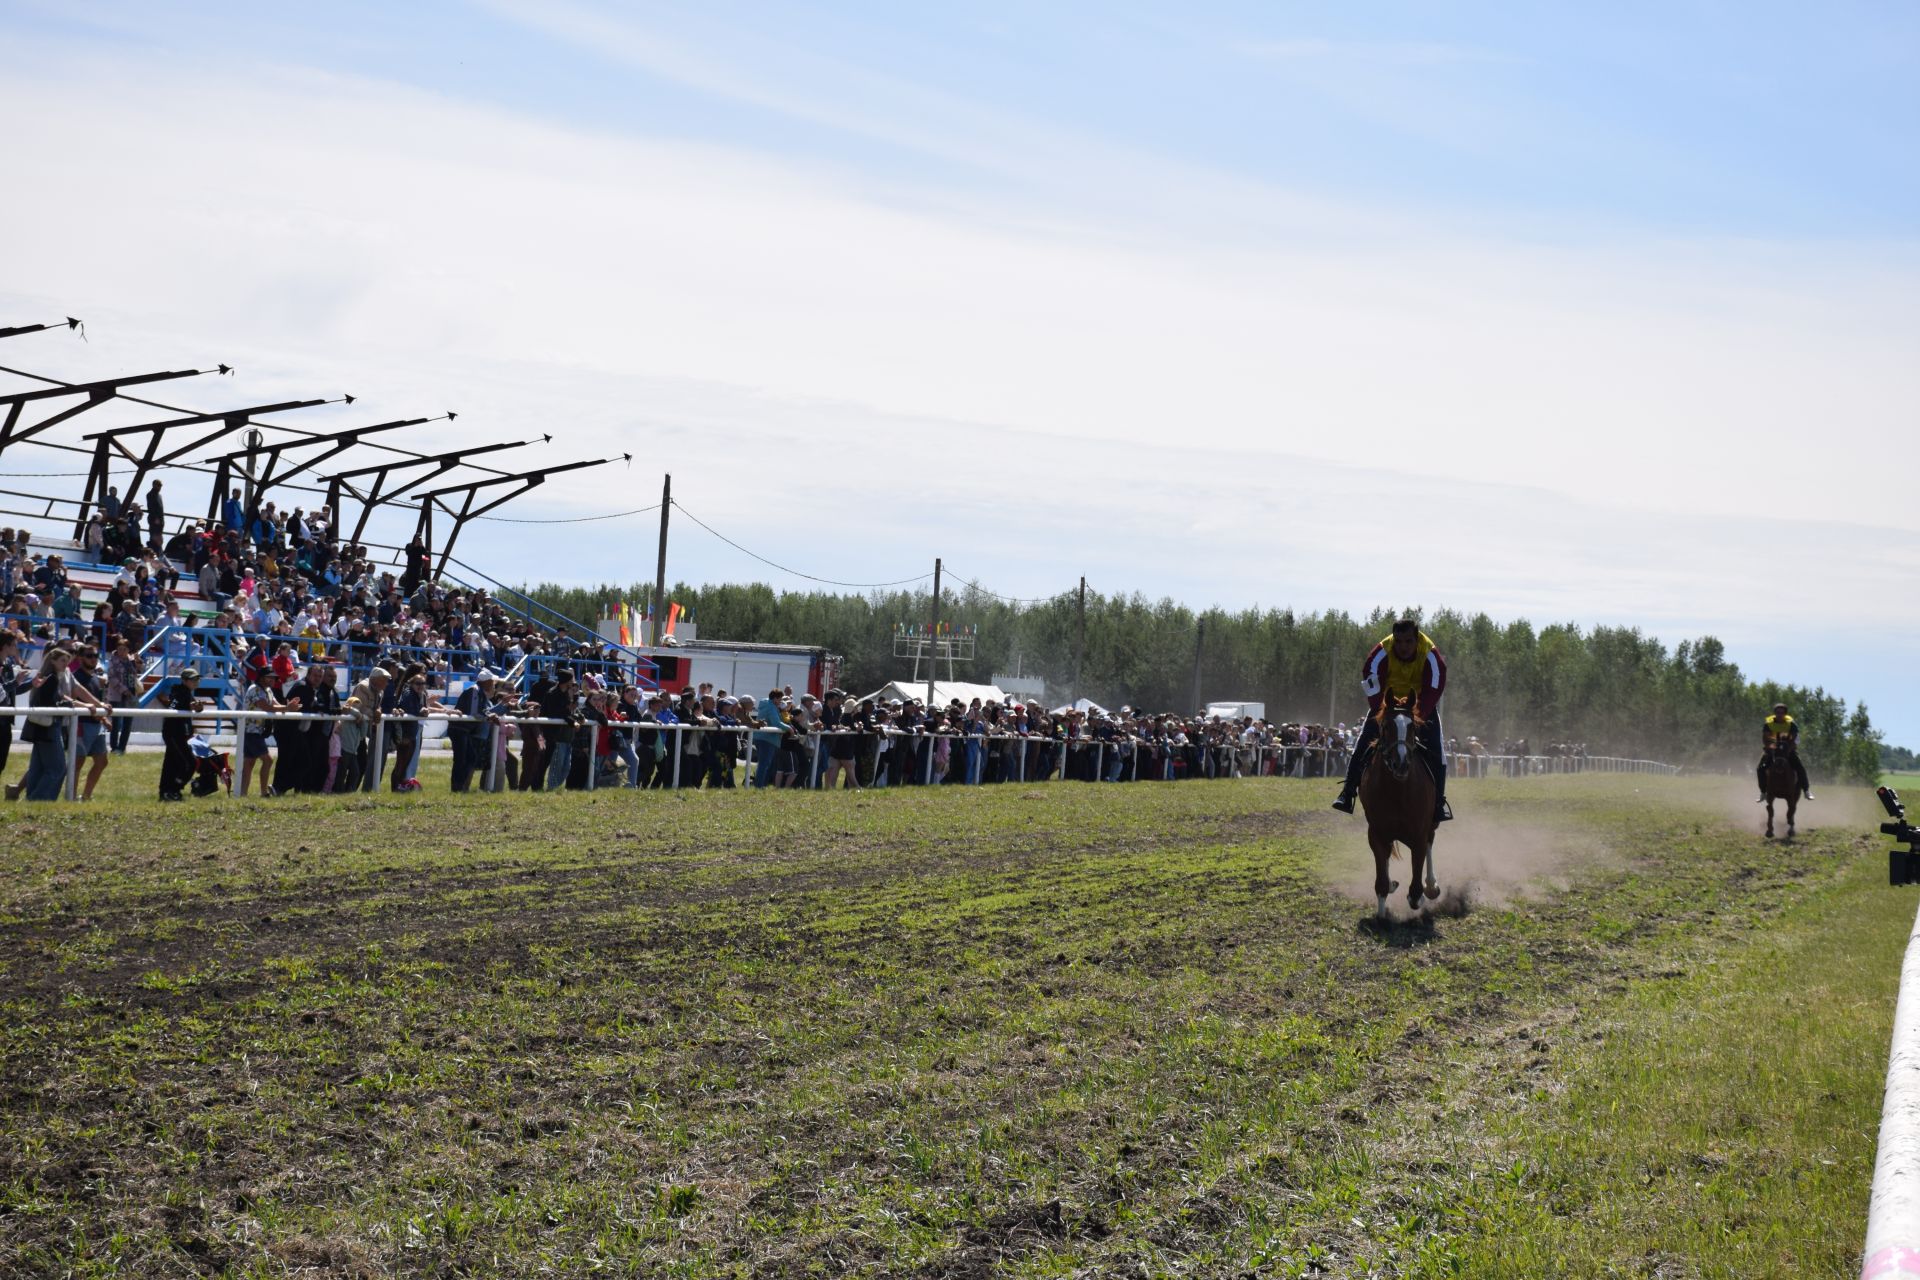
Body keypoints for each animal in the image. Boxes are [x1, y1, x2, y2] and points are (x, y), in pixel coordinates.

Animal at [1351, 702, 1443, 921]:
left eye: (1412, 728)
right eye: (1385, 726)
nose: (1400, 763)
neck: (1397, 791)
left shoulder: (1418, 835)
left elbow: (1416, 891)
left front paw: (1423, 892)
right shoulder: (1376, 833)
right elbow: (1382, 880)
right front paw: (1382, 911)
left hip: (1432, 824)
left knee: (1430, 843)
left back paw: (1431, 886)